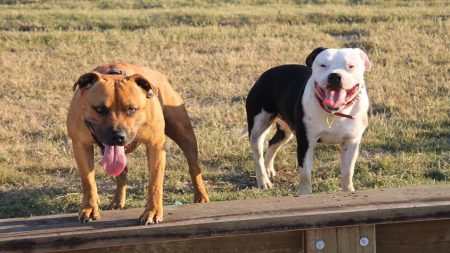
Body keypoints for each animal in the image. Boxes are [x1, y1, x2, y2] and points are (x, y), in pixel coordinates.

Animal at [66, 62, 209, 224]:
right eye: (100, 109)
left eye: (132, 109)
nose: (118, 136)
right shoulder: (81, 145)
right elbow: (88, 181)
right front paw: (90, 208)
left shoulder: (156, 145)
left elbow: (155, 183)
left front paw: (152, 212)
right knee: (121, 173)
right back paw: (117, 202)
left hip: (184, 134)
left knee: (194, 166)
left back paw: (201, 196)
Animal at [246, 47, 372, 195]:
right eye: (323, 65)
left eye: (351, 66)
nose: (335, 76)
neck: (333, 112)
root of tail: (266, 74)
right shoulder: (306, 142)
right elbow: (305, 174)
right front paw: (305, 195)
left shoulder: (351, 142)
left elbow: (347, 172)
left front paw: (348, 191)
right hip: (258, 128)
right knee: (258, 155)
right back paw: (263, 180)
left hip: (286, 131)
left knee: (273, 143)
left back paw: (268, 169)